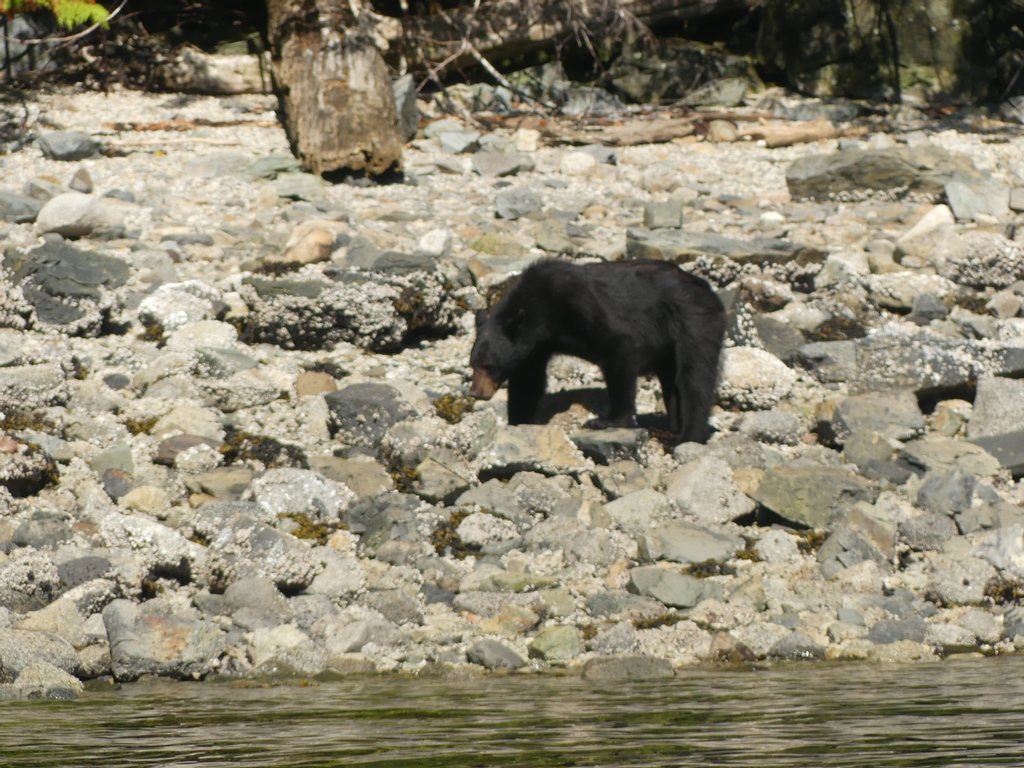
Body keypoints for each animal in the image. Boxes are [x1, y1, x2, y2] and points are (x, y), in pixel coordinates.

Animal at [469, 258, 726, 444]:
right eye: (473, 364)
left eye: (489, 366)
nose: (475, 392)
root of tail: (709, 290)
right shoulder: (535, 347)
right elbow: (527, 383)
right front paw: (518, 422)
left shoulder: (582, 302)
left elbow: (619, 347)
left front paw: (608, 420)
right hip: (668, 346)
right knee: (671, 382)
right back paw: (670, 430)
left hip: (694, 321)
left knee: (693, 377)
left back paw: (687, 436)